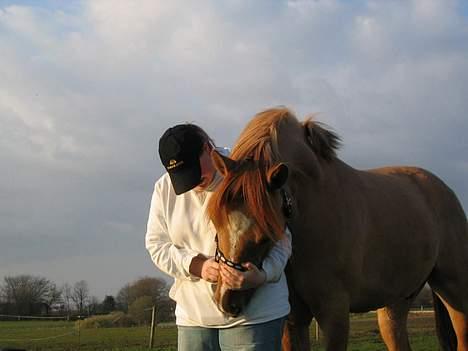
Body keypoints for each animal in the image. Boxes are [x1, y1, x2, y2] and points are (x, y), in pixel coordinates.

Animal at [208, 107, 468, 351]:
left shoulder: (334, 313)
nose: (226, 300)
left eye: (266, 235)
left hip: (454, 291)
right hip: (397, 301)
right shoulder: (293, 320)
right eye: (215, 221)